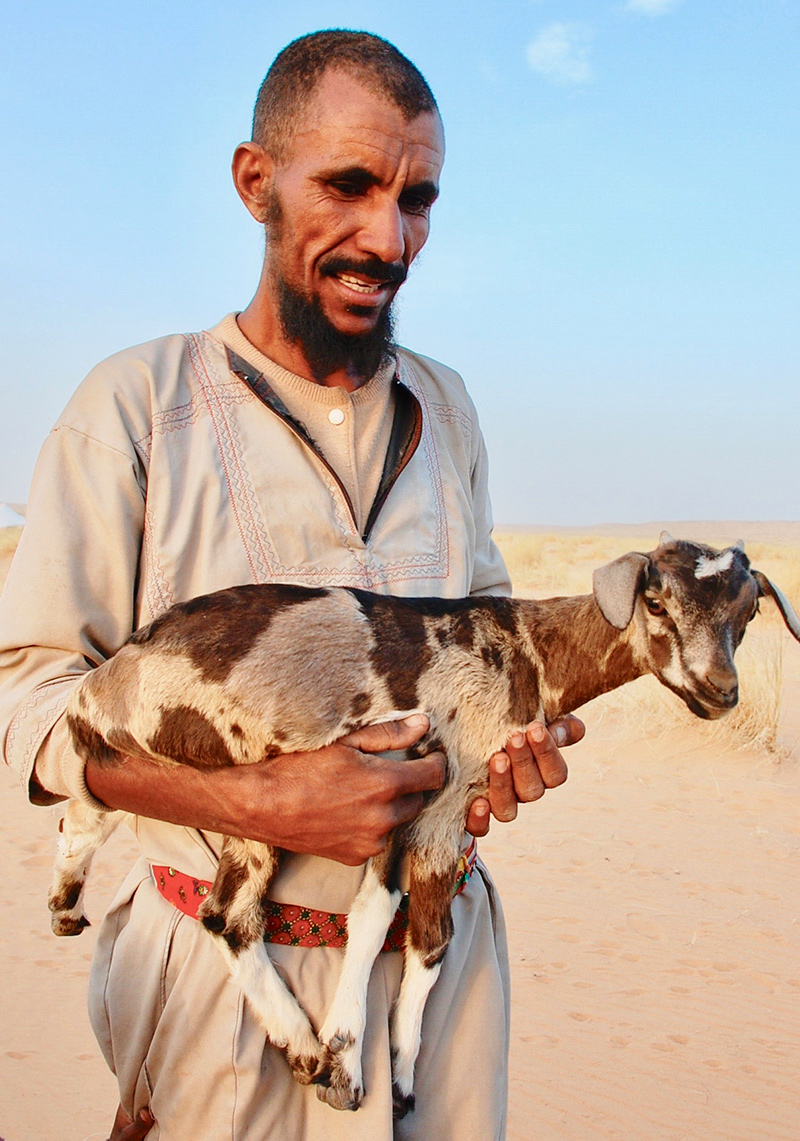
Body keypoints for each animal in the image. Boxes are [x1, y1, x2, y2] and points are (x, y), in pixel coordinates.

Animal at [48, 533, 798, 1113]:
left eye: (747, 611)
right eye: (657, 600)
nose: (720, 690)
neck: (529, 652)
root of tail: (105, 679)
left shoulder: (451, 818)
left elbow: (432, 938)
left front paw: (403, 1075)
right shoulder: (413, 790)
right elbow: (376, 914)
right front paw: (347, 1065)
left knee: (103, 804)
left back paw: (67, 899)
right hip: (245, 778)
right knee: (224, 909)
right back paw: (305, 1043)